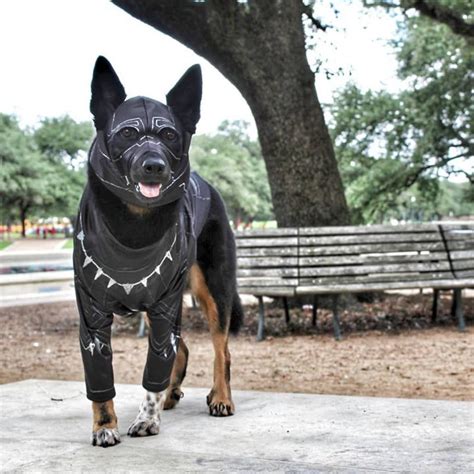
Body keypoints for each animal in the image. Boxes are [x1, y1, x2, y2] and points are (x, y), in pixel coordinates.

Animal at [74, 57, 244, 446]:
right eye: (126, 133)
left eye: (169, 135)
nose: (154, 165)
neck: (133, 231)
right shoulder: (92, 315)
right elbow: (101, 377)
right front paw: (104, 426)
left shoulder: (165, 307)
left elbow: (156, 369)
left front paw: (147, 418)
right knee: (181, 348)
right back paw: (173, 393)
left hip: (214, 292)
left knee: (221, 349)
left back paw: (221, 397)